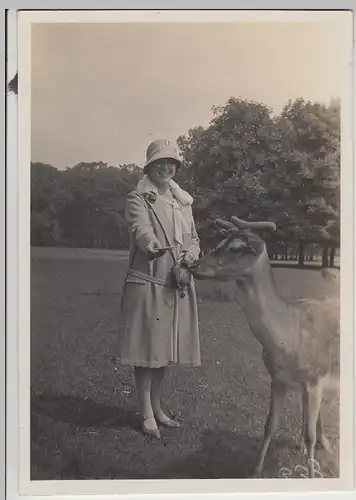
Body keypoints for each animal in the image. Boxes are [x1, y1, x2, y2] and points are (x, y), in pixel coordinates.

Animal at [191, 216, 340, 480]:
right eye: (220, 242)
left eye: (236, 247)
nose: (192, 264)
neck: (286, 340)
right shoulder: (278, 379)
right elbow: (269, 425)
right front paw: (256, 472)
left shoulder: (314, 378)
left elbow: (309, 435)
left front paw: (312, 474)